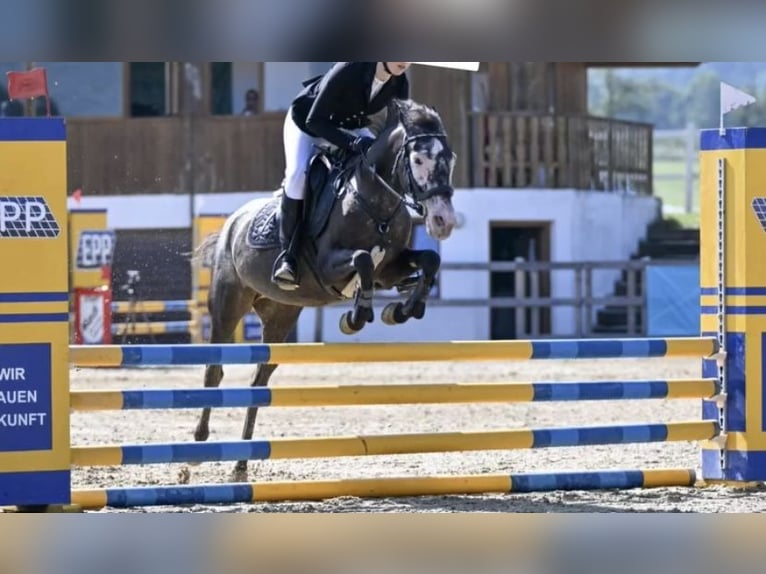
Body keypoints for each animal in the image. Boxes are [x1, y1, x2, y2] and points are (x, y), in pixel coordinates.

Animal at [192, 99, 460, 482]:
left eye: (450, 159)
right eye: (419, 160)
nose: (443, 222)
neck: (375, 204)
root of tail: (233, 221)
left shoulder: (390, 269)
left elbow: (428, 261)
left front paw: (402, 310)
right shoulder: (327, 266)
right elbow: (362, 260)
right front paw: (357, 316)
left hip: (280, 315)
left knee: (259, 381)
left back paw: (241, 466)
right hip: (228, 304)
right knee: (214, 369)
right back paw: (196, 450)